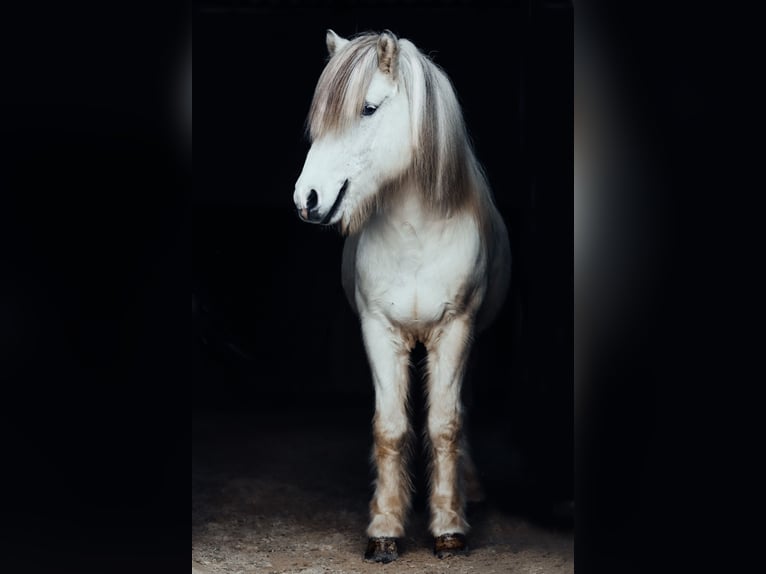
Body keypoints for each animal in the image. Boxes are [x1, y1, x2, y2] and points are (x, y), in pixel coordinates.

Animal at [296, 29, 512, 564]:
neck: (417, 235)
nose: (306, 199)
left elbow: (444, 425)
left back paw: (470, 488)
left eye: (368, 109)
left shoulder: (456, 331)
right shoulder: (379, 331)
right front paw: (385, 529)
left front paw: (450, 527)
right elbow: (391, 427)